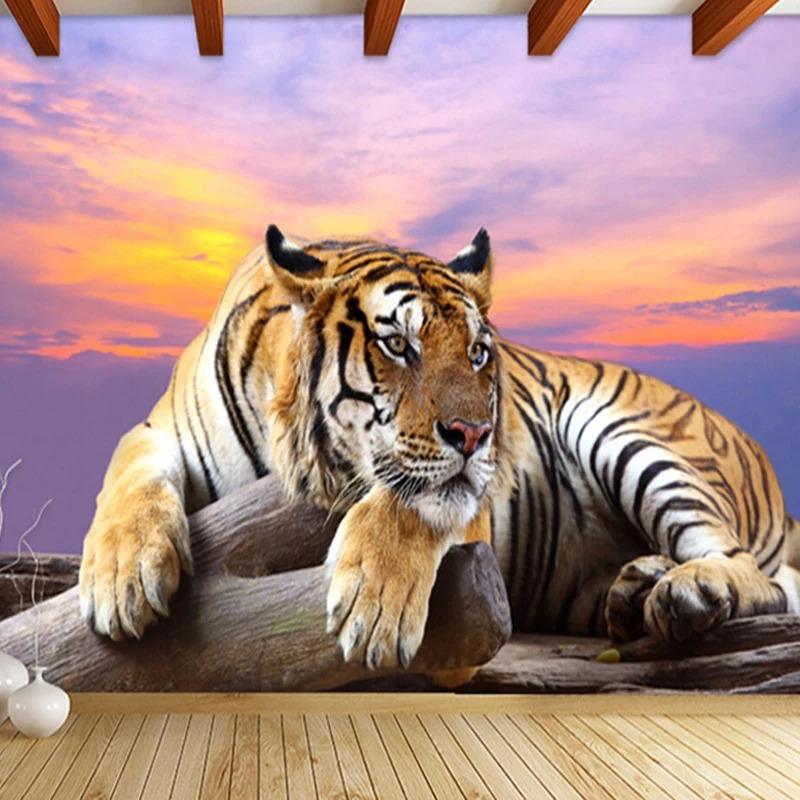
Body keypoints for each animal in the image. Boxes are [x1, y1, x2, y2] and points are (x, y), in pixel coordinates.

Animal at [79, 224, 800, 680]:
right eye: (399, 345)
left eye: (478, 352)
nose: (478, 434)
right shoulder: (158, 428)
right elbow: (128, 473)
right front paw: (121, 580)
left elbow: (413, 500)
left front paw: (373, 608)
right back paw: (636, 590)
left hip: (626, 435)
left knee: (760, 577)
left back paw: (688, 591)